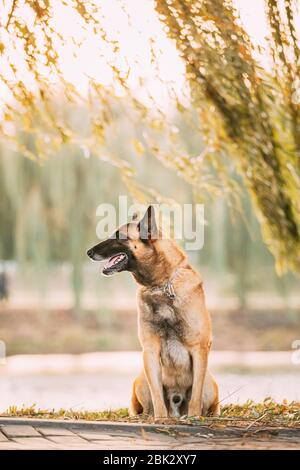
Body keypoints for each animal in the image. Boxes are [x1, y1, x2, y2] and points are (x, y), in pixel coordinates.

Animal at [86, 207, 218, 418]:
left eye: (118, 236)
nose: (88, 252)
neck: (161, 285)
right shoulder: (150, 351)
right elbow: (157, 396)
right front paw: (160, 419)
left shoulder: (199, 349)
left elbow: (195, 397)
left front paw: (194, 417)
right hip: (140, 378)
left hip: (209, 382)